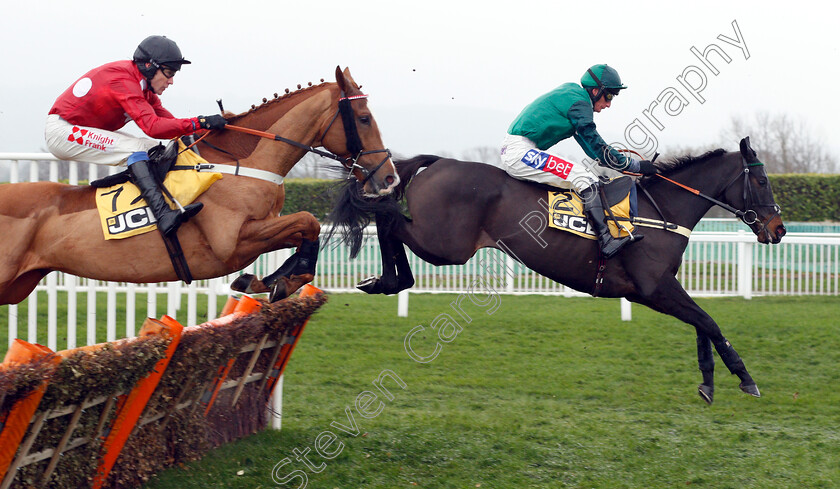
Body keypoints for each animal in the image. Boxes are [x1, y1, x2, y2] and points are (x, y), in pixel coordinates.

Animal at [0, 66, 398, 304]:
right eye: (364, 118)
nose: (389, 177)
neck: (245, 164)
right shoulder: (232, 243)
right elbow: (308, 221)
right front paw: (277, 280)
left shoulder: (262, 229)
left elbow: (306, 230)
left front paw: (270, 281)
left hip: (18, 285)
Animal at [330, 137, 788, 404]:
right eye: (762, 182)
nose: (779, 229)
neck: (662, 212)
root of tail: (439, 161)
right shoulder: (652, 288)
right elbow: (709, 322)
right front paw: (744, 377)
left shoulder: (662, 288)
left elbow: (701, 326)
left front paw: (708, 383)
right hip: (445, 244)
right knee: (388, 218)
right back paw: (390, 279)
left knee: (389, 219)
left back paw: (384, 280)